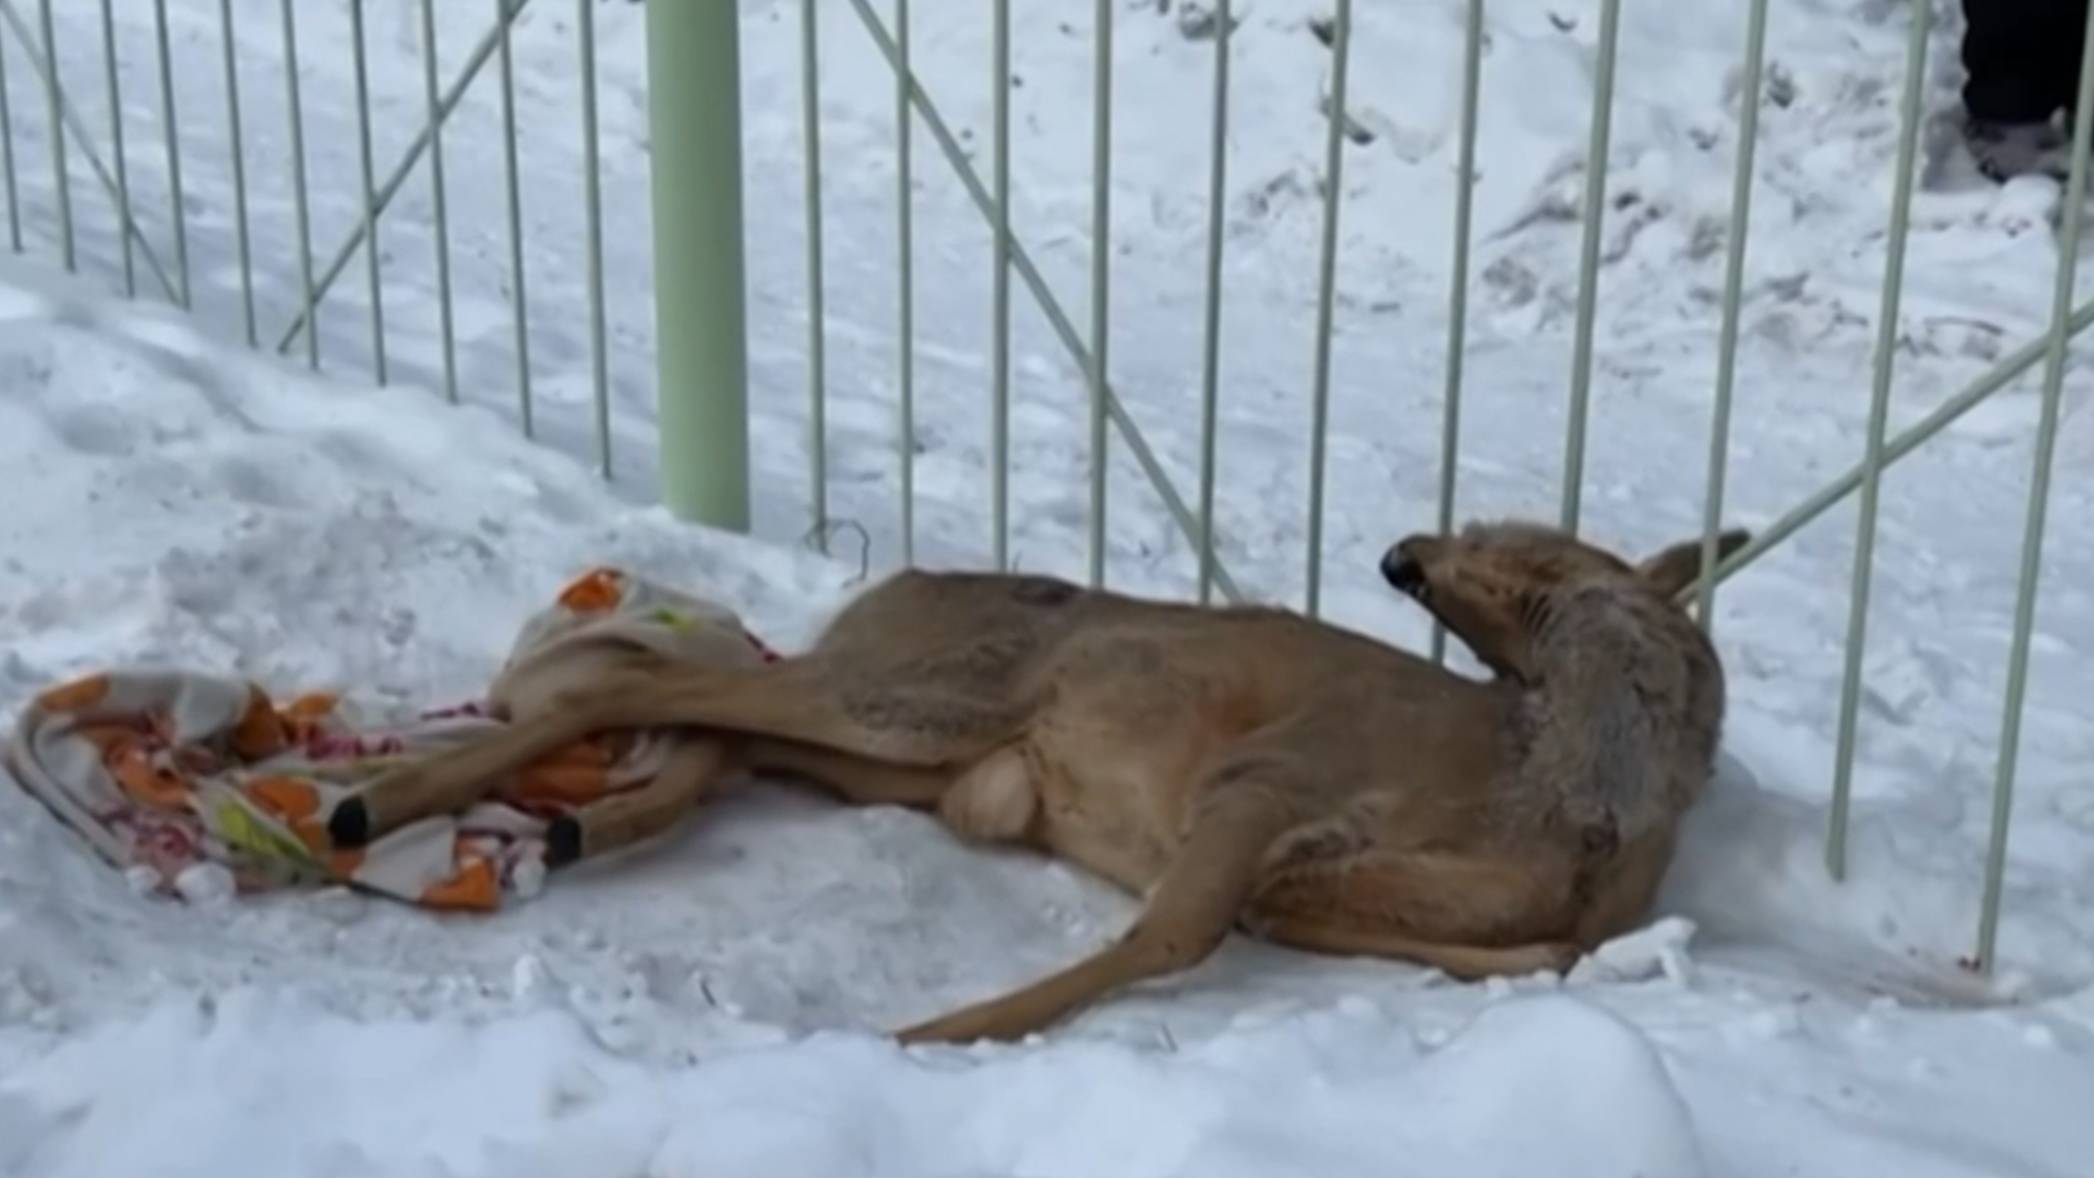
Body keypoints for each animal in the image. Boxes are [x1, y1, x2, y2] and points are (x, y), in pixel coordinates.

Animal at [326, 520, 1742, 1046]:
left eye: (1531, 547)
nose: (1402, 553)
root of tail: (881, 591)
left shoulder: (1340, 886)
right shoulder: (1273, 773)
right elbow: (1166, 933)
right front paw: (926, 1037)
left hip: (907, 747)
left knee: (719, 737)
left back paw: (572, 824)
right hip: (926, 697)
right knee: (645, 690)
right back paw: (372, 804)